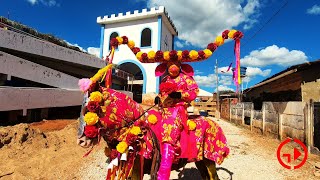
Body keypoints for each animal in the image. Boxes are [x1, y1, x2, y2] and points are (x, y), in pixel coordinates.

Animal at [77, 28, 242, 179]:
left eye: (92, 107)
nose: (81, 141)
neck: (135, 128)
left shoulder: (137, 169)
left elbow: (192, 90)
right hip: (200, 161)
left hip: (209, 159)